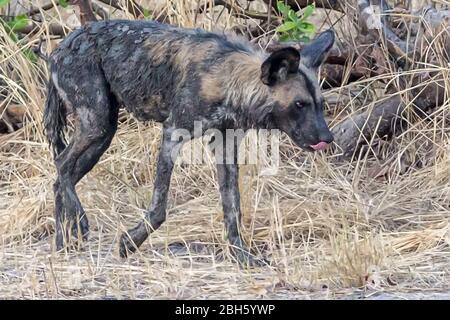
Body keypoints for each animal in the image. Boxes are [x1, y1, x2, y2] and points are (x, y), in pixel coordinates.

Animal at [44, 19, 334, 264]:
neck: (229, 80)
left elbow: (233, 209)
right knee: (61, 165)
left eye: (320, 104)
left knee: (60, 178)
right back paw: (81, 223)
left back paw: (63, 243)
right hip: (97, 123)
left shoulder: (226, 146)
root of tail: (61, 46)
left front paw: (241, 256)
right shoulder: (172, 133)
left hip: (101, 136)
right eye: (299, 104)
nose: (327, 139)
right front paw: (129, 242)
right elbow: (159, 209)